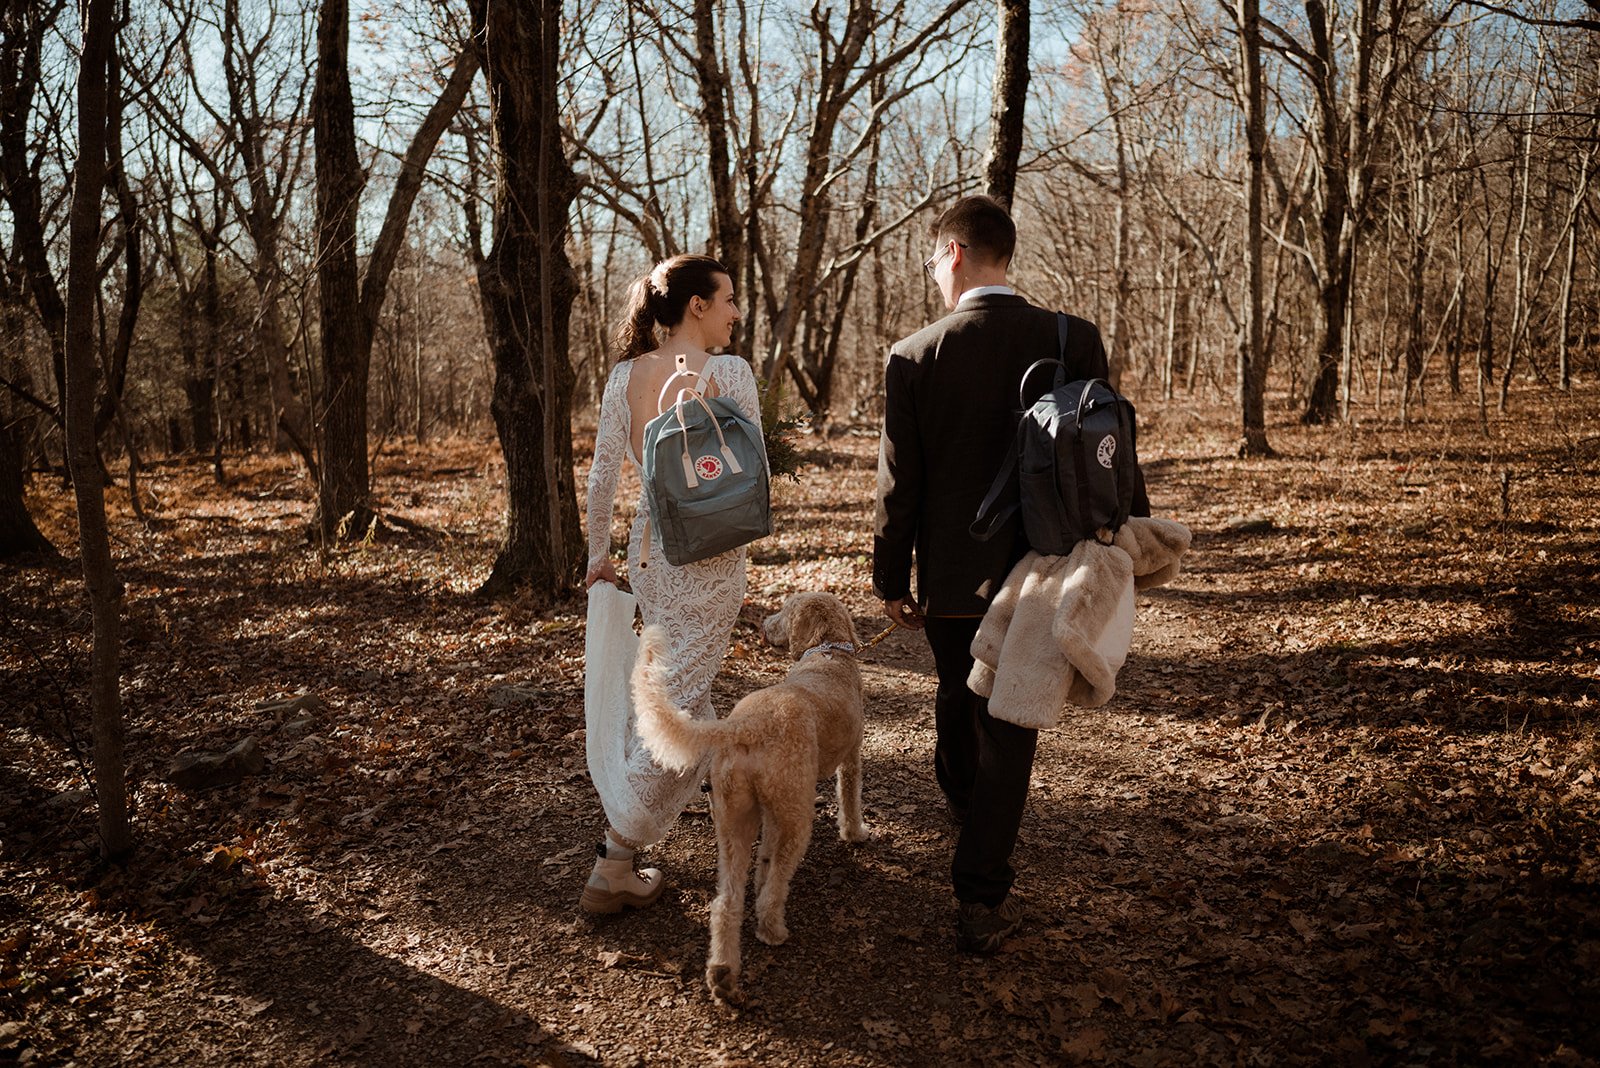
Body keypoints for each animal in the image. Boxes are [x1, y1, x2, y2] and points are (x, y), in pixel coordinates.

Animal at [630, 588, 870, 1004]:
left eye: (785, 610)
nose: (764, 624)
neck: (828, 650)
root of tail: (743, 725)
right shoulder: (850, 759)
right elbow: (850, 799)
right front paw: (855, 834)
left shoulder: (768, 812)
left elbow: (765, 858)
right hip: (795, 817)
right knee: (776, 885)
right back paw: (772, 929)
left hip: (733, 819)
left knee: (726, 901)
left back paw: (723, 976)